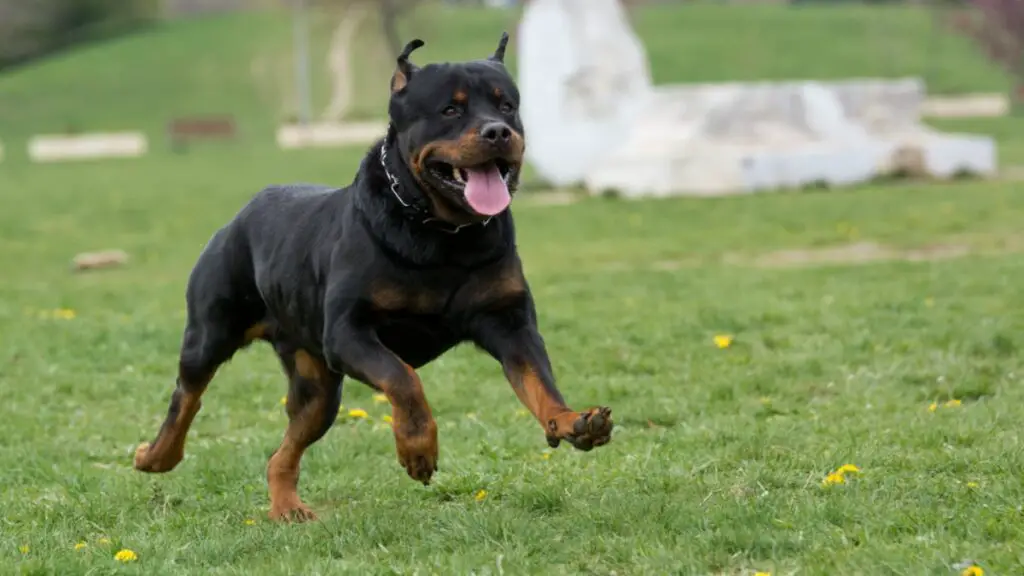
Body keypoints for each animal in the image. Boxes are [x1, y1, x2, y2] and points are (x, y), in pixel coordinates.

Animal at [136, 33, 614, 522]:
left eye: (507, 106)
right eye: (450, 109)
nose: (498, 132)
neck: (442, 234)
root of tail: (241, 214)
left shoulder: (509, 321)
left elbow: (538, 379)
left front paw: (573, 420)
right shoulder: (349, 332)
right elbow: (402, 377)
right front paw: (418, 449)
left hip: (318, 391)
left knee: (284, 448)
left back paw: (287, 506)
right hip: (210, 332)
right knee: (186, 396)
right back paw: (156, 456)